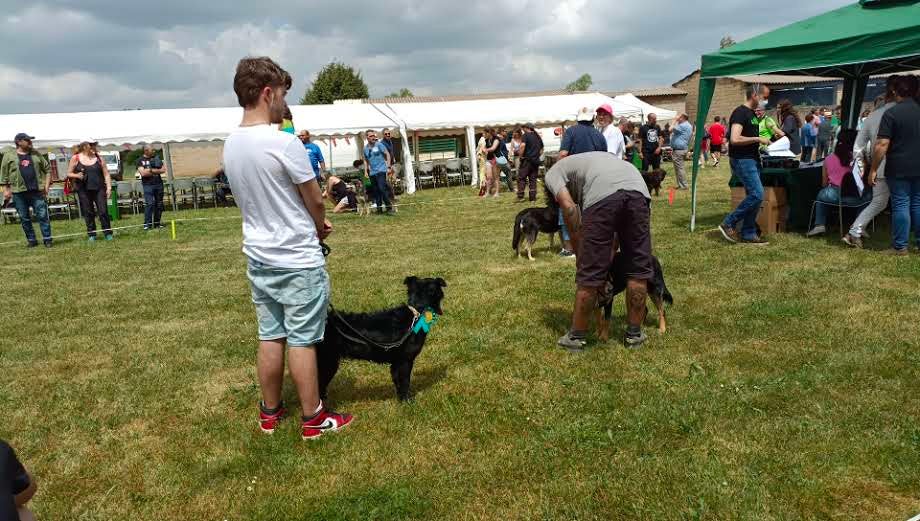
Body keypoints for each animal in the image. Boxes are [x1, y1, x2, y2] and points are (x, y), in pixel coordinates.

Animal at [316, 276, 446, 402]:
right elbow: (405, 382)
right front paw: (408, 401)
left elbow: (398, 382)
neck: (416, 315)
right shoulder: (405, 360)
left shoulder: (396, 363)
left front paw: (400, 400)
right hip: (328, 363)